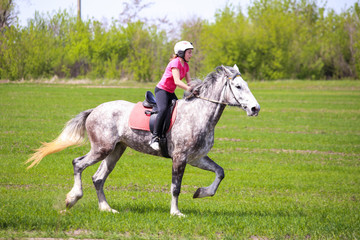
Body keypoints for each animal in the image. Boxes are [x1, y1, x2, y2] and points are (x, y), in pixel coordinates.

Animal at [26, 64, 260, 218]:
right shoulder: (180, 157)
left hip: (116, 150)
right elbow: (176, 187)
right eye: (238, 87)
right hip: (102, 148)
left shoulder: (196, 158)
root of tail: (95, 110)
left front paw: (201, 192)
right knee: (78, 164)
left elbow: (220, 172)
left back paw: (106, 208)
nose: (255, 108)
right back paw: (72, 198)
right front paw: (175, 212)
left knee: (98, 178)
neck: (200, 113)